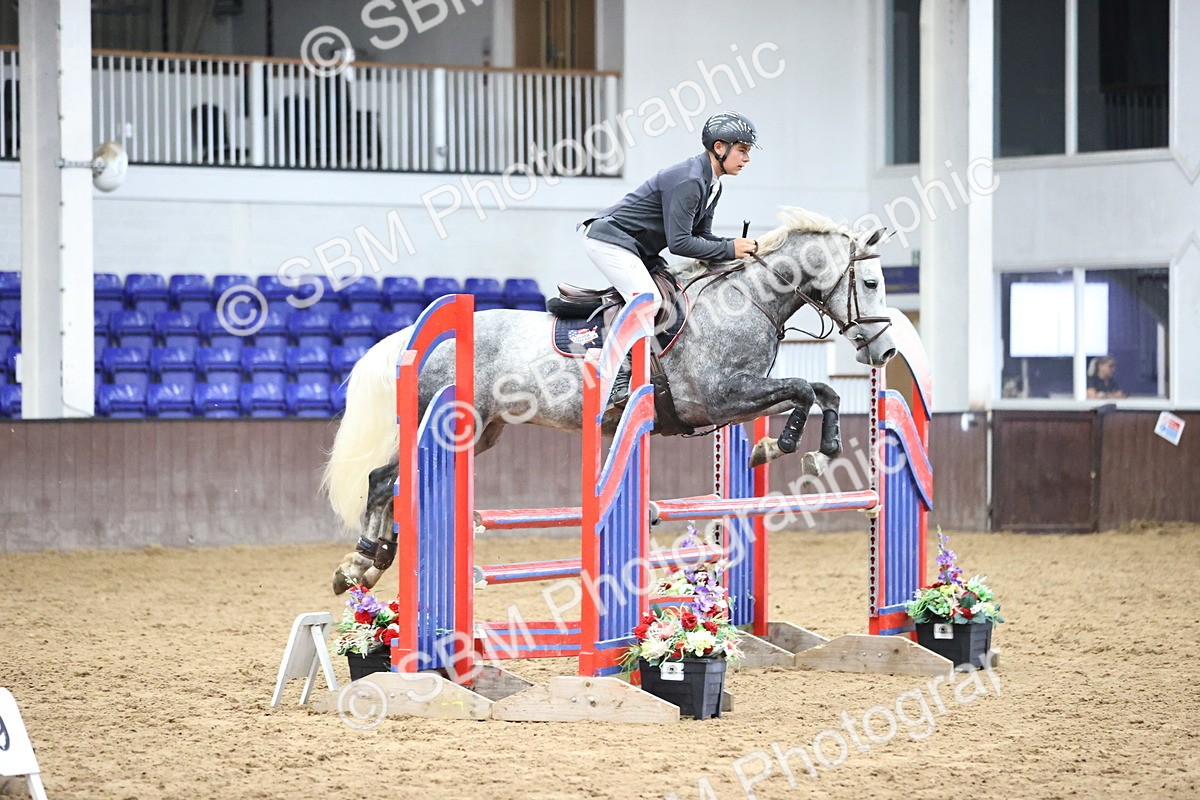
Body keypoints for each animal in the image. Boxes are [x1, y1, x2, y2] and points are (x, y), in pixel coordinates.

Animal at [323, 207, 898, 594]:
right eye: (871, 282)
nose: (885, 350)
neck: (746, 299)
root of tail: (419, 337)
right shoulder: (718, 398)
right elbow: (802, 389)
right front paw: (782, 448)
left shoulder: (742, 395)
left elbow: (821, 391)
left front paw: (815, 450)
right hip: (447, 426)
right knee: (384, 481)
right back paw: (361, 562)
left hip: (483, 433)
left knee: (386, 481)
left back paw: (369, 564)